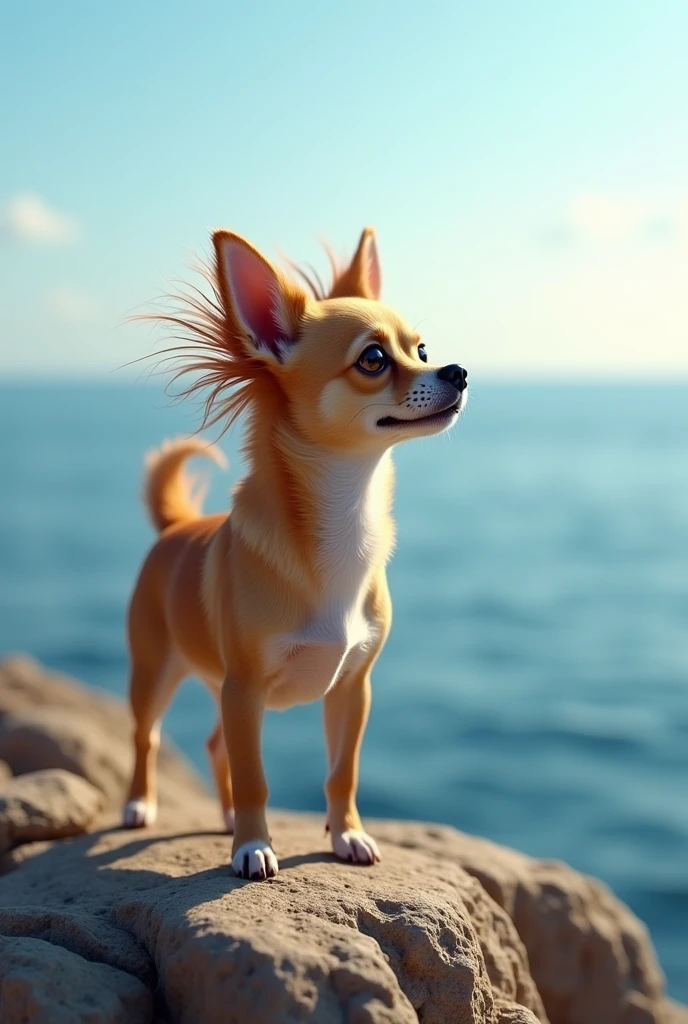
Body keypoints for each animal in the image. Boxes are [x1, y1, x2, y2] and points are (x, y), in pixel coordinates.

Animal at [123, 226, 466, 880]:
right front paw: (254, 847)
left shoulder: (353, 687)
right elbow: (256, 777)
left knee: (214, 744)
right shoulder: (245, 689)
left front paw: (347, 834)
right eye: (373, 359)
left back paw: (225, 817)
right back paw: (140, 804)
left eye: (422, 348)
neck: (346, 517)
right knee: (147, 737)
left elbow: (342, 772)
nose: (458, 370)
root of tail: (177, 526)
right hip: (155, 670)